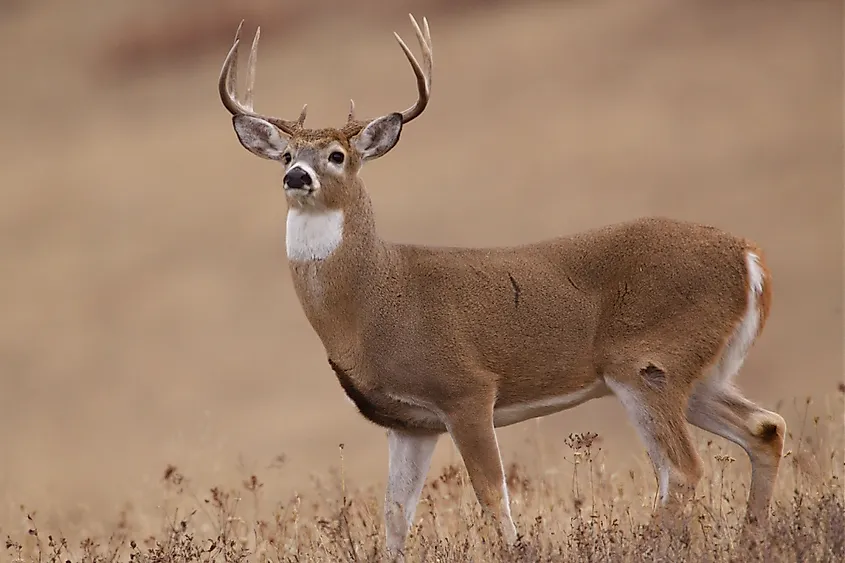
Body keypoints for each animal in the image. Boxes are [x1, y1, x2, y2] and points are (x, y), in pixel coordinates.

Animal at [216, 14, 784, 560]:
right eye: (285, 153)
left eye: (336, 155)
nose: (296, 177)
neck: (374, 299)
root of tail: (750, 258)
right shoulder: (411, 422)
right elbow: (396, 513)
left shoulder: (466, 388)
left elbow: (492, 494)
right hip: (699, 373)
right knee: (765, 428)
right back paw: (751, 541)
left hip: (649, 363)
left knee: (682, 469)